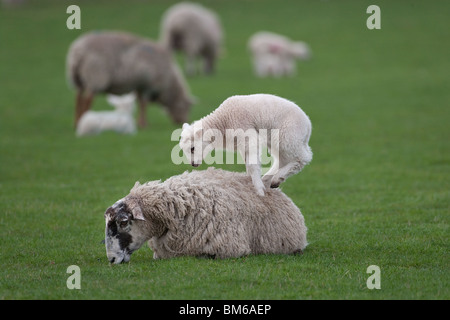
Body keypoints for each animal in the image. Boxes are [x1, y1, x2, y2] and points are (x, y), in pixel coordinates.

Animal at [178, 94, 312, 196]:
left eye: (192, 148)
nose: (193, 164)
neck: (223, 122)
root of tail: (308, 124)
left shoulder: (247, 134)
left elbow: (252, 164)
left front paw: (259, 190)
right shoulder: (242, 142)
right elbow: (248, 163)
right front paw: (250, 183)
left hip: (288, 135)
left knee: (303, 157)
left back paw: (276, 178)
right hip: (277, 140)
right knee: (282, 159)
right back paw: (271, 180)